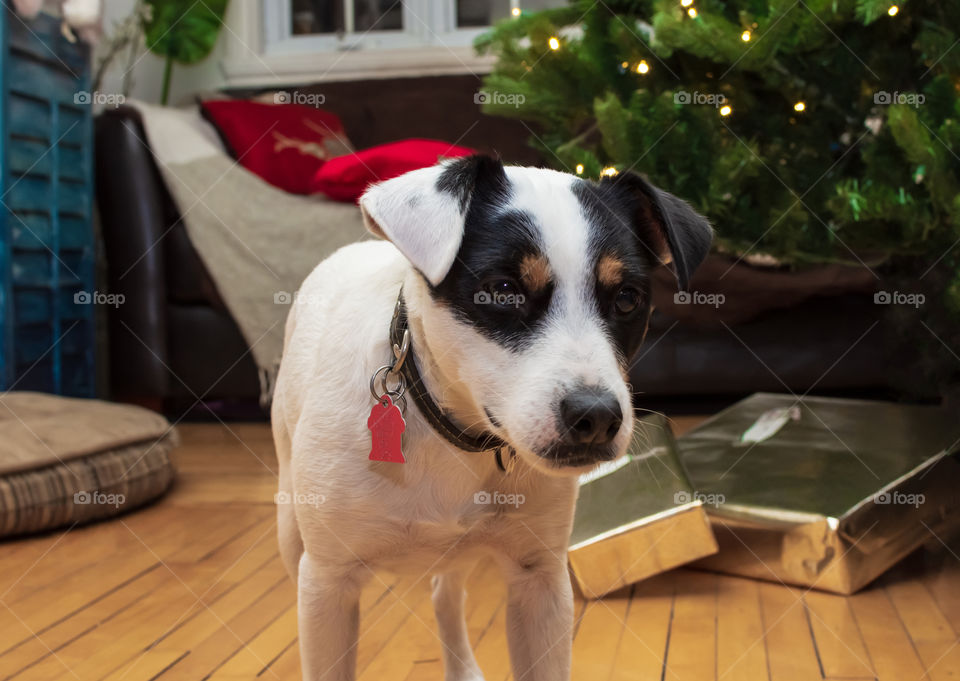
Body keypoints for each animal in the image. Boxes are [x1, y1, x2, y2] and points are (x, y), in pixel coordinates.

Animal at [270, 155, 712, 680]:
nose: (597, 417)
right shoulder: (329, 585)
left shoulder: (539, 581)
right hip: (292, 528)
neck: (449, 433)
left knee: (444, 595)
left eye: (627, 298)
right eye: (502, 290)